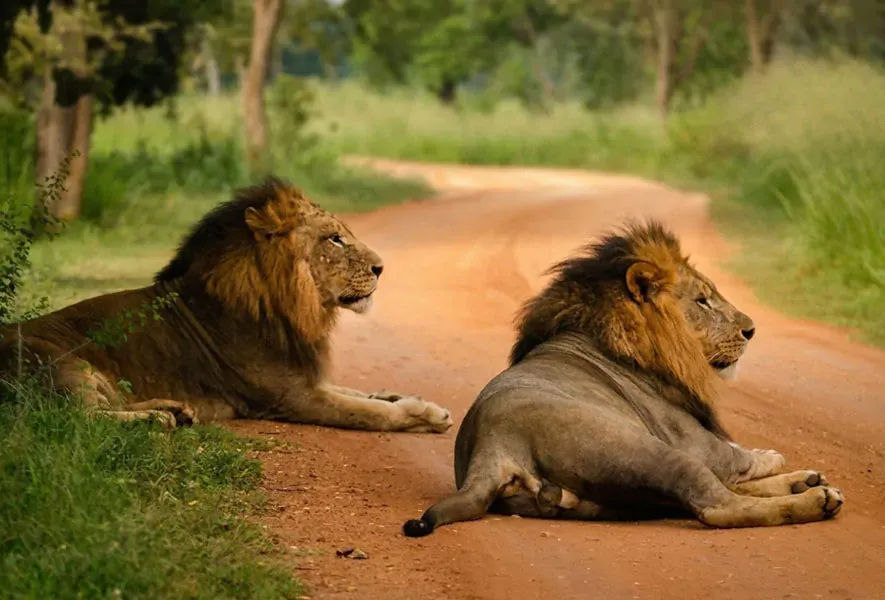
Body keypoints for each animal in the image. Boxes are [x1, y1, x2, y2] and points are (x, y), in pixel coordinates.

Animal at [0, 177, 453, 434]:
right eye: (335, 239)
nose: (381, 268)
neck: (289, 305)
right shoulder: (292, 397)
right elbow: (371, 412)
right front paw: (424, 415)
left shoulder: (306, 379)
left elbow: (365, 393)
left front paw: (406, 397)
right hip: (61, 363)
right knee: (76, 418)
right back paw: (156, 419)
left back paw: (175, 410)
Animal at [403, 220, 842, 537]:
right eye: (702, 300)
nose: (751, 330)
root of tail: (490, 446)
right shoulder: (698, 444)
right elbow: (742, 457)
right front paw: (776, 459)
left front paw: (802, 475)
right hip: (652, 452)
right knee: (717, 504)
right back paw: (816, 500)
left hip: (615, 496)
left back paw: (808, 485)